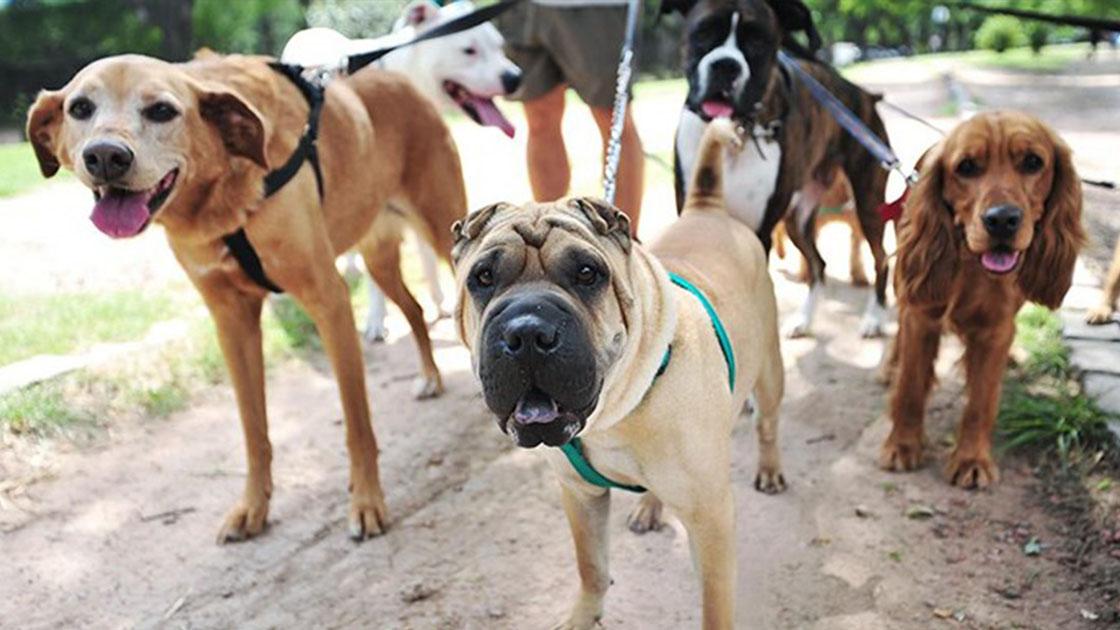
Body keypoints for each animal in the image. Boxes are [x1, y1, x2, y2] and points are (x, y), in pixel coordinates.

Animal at [26, 52, 465, 540]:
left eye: (162, 110)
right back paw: (430, 377)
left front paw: (367, 502)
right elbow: (254, 432)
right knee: (414, 308)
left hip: (446, 233)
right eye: (80, 108)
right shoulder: (231, 320)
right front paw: (253, 506)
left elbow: (357, 425)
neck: (221, 197)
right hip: (378, 259)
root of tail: (403, 83)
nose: (105, 155)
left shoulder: (327, 300)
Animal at [284, 0, 519, 340]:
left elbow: (428, 257)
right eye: (469, 50)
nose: (515, 77)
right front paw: (375, 319)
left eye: (499, 46)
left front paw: (439, 300)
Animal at [450, 118, 784, 627]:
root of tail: (709, 209)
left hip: (769, 372)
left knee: (767, 423)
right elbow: (591, 566)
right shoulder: (579, 496)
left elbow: (714, 605)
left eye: (588, 273)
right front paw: (582, 616)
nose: (526, 332)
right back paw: (649, 506)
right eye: (482, 277)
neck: (618, 410)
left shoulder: (711, 519)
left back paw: (770, 469)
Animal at [663, 0, 891, 338]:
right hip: (798, 218)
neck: (735, 134)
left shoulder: (759, 235)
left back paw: (874, 317)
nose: (726, 65)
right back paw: (804, 320)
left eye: (758, 42)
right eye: (703, 32)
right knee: (818, 265)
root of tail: (861, 93)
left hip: (868, 203)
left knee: (881, 258)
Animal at [882, 111, 1084, 486]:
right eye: (966, 167)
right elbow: (911, 387)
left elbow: (981, 401)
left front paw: (971, 459)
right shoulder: (922, 315)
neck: (972, 265)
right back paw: (889, 367)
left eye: (1033, 162)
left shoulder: (995, 329)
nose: (1002, 219)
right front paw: (902, 445)